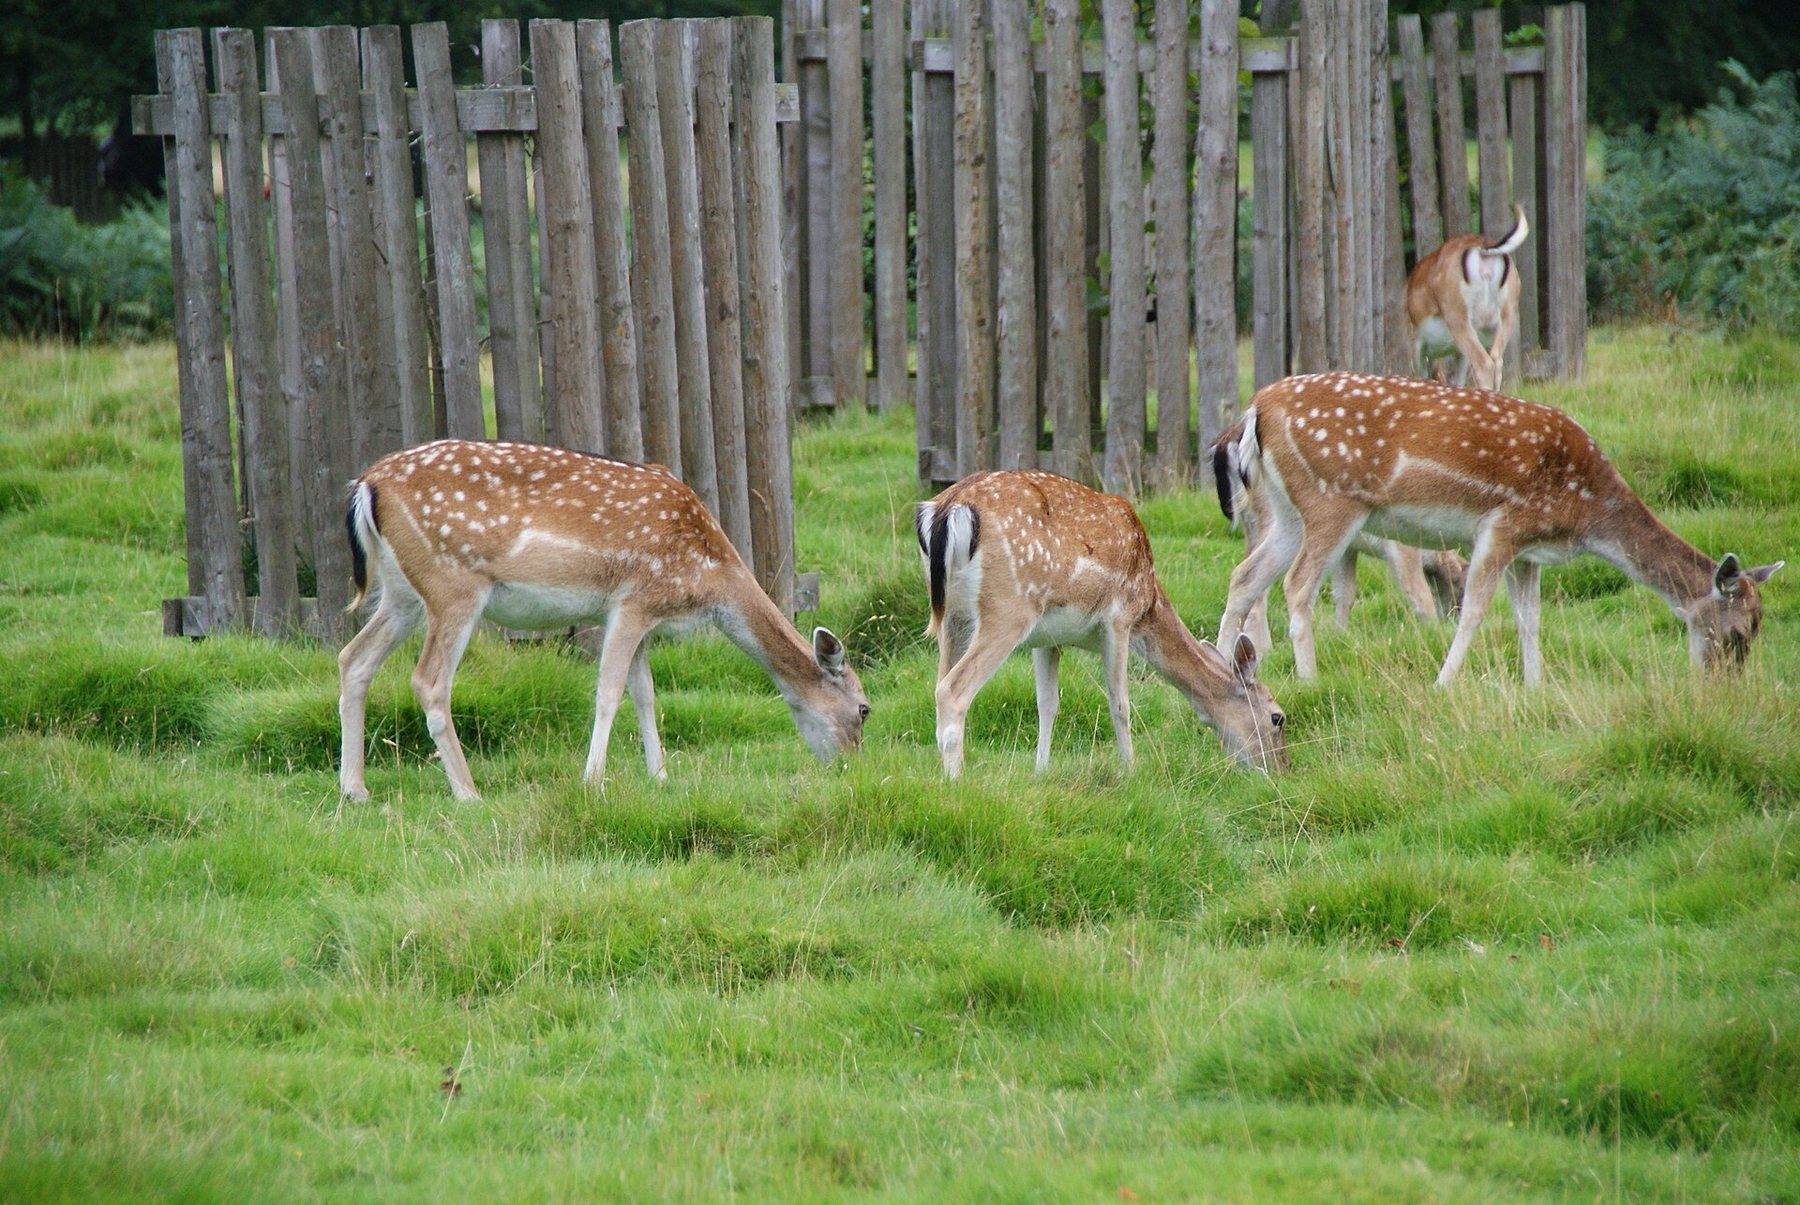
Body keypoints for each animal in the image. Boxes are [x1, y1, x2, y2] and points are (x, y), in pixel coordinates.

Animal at [337, 440, 868, 802]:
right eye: (865, 709)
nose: (850, 767)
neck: (707, 575)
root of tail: (366, 485)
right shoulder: (634, 599)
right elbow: (609, 692)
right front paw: (593, 781)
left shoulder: (644, 617)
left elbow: (646, 694)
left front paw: (660, 776)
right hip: (453, 584)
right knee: (428, 681)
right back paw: (468, 793)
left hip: (402, 592)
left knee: (353, 658)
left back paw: (355, 789)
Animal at [918, 470, 1289, 778]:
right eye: (1277, 717)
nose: (1280, 769)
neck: (1149, 601)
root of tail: (949, 509)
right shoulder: (1120, 618)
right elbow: (1120, 702)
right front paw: (1131, 771)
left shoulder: (1046, 638)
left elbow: (1047, 704)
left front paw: (1041, 771)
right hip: (1009, 608)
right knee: (952, 689)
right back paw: (956, 780)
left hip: (953, 617)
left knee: (940, 682)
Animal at [1212, 418, 1466, 652]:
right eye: (1460, 586)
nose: (1452, 620)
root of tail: (1225, 444)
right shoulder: (1401, 548)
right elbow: (1419, 596)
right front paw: (1431, 632)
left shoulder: (1348, 549)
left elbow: (1345, 593)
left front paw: (1339, 637)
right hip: (1273, 517)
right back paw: (1264, 650)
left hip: (1253, 525)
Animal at [1409, 203, 1528, 391]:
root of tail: (1484, 251)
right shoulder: (1458, 353)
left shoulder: (1416, 342)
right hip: (1506, 316)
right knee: (1497, 360)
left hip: (1459, 318)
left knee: (1484, 364)